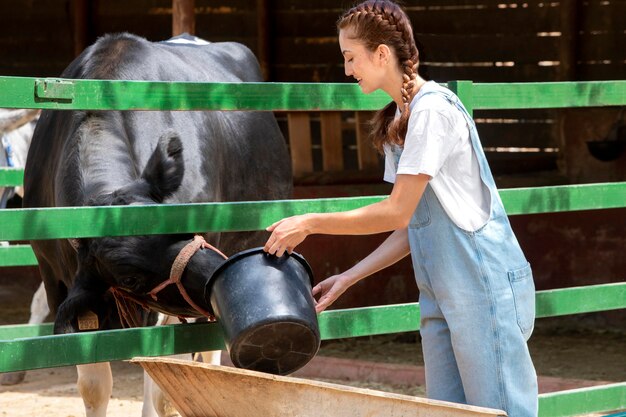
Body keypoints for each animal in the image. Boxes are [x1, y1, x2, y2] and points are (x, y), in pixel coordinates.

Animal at [20, 33, 292, 416]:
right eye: (128, 278)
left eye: (185, 228)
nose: (217, 276)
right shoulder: (55, 276)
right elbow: (94, 385)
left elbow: (159, 376)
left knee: (205, 353)